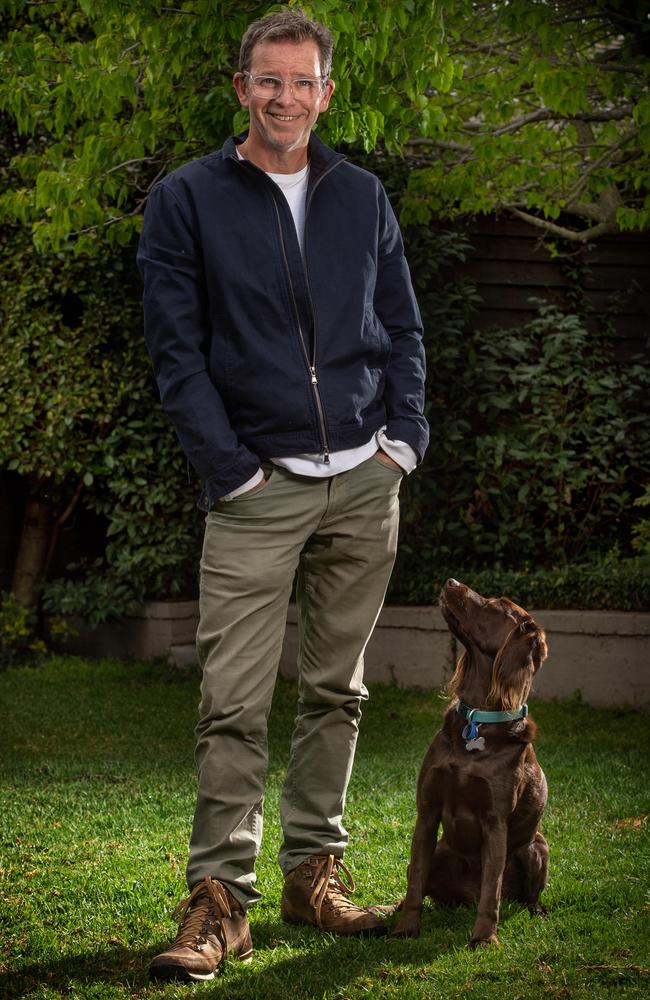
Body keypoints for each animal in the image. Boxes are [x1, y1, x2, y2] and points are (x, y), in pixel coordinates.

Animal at [390, 580, 548, 944]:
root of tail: (464, 897)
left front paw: (484, 938)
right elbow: (416, 883)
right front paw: (406, 927)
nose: (451, 582)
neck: (478, 719)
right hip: (441, 852)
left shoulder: (496, 823)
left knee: (523, 896)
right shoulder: (427, 814)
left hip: (537, 847)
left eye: (497, 605)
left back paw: (535, 911)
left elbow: (492, 891)